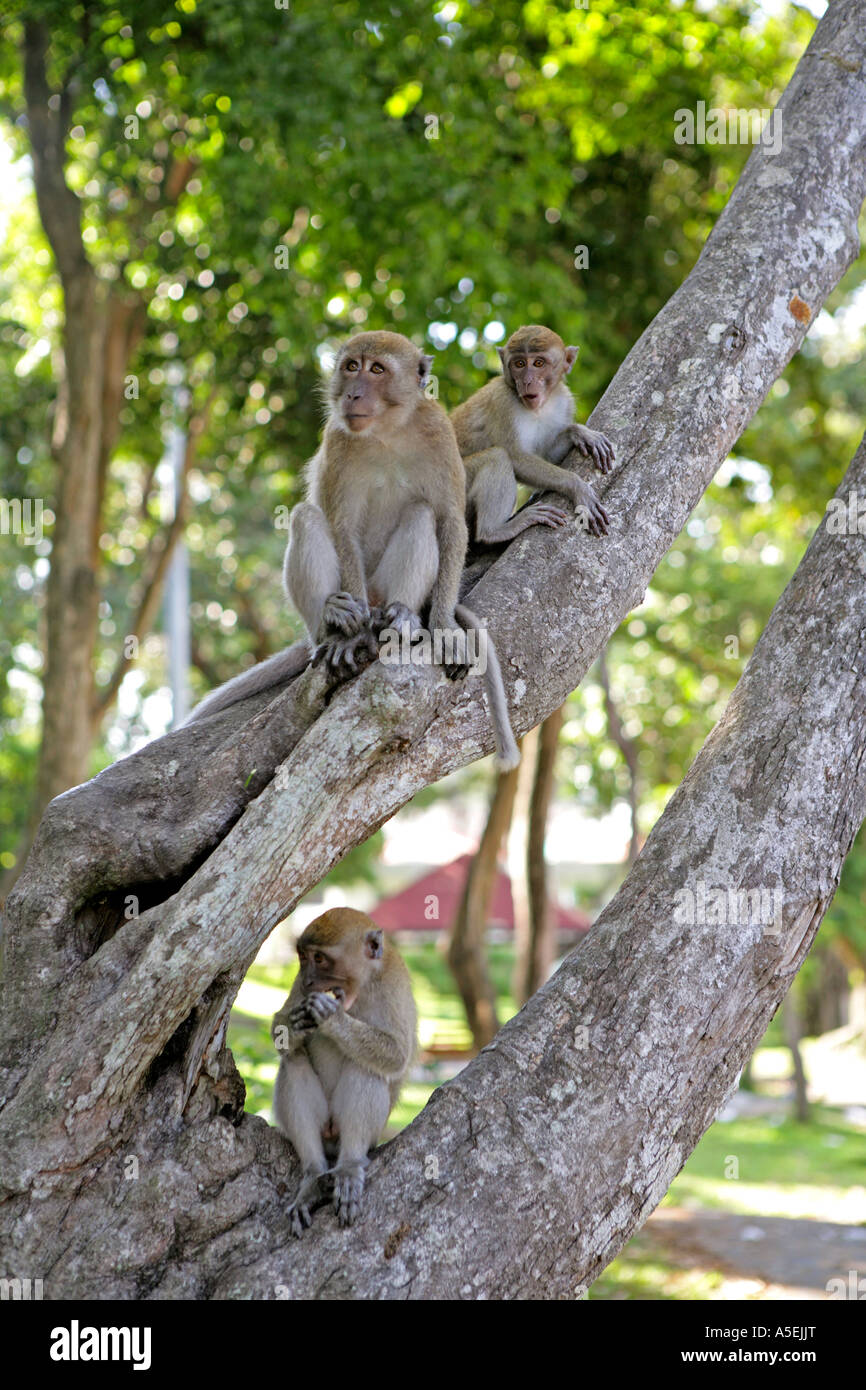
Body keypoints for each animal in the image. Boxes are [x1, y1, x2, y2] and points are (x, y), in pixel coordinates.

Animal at [187, 332, 522, 778]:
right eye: (351, 367)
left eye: (377, 369)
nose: (353, 393)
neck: (388, 430)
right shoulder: (337, 440)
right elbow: (340, 526)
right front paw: (354, 635)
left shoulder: (439, 432)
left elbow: (451, 522)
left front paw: (444, 626)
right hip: (350, 595)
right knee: (307, 518)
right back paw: (334, 626)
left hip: (382, 585)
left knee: (420, 514)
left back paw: (402, 616)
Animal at [272, 906, 419, 1234]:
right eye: (303, 957)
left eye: (320, 958)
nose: (310, 981)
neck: (362, 986)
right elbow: (280, 1028)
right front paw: (295, 1027)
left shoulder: (394, 984)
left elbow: (396, 1055)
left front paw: (333, 1019)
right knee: (294, 1061)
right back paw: (313, 1176)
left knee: (366, 1066)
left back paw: (350, 1165)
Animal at [450, 323, 614, 542]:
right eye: (519, 364)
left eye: (538, 363)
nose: (527, 381)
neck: (538, 408)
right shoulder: (502, 402)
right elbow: (516, 457)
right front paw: (576, 486)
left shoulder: (565, 401)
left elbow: (550, 455)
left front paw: (580, 433)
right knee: (497, 457)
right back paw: (494, 532)